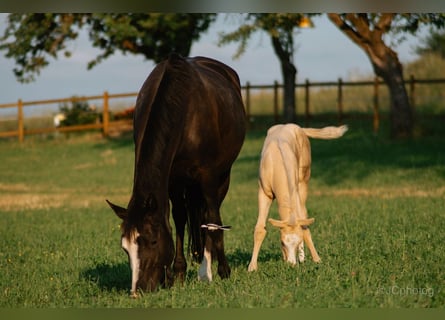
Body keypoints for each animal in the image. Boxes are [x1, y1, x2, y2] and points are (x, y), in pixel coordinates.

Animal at [107, 53, 246, 296]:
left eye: (152, 241)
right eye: (125, 248)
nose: (138, 290)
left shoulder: (208, 177)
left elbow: (213, 220)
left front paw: (223, 271)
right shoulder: (172, 180)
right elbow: (179, 219)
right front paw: (178, 273)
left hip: (222, 176)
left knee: (211, 215)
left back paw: (207, 268)